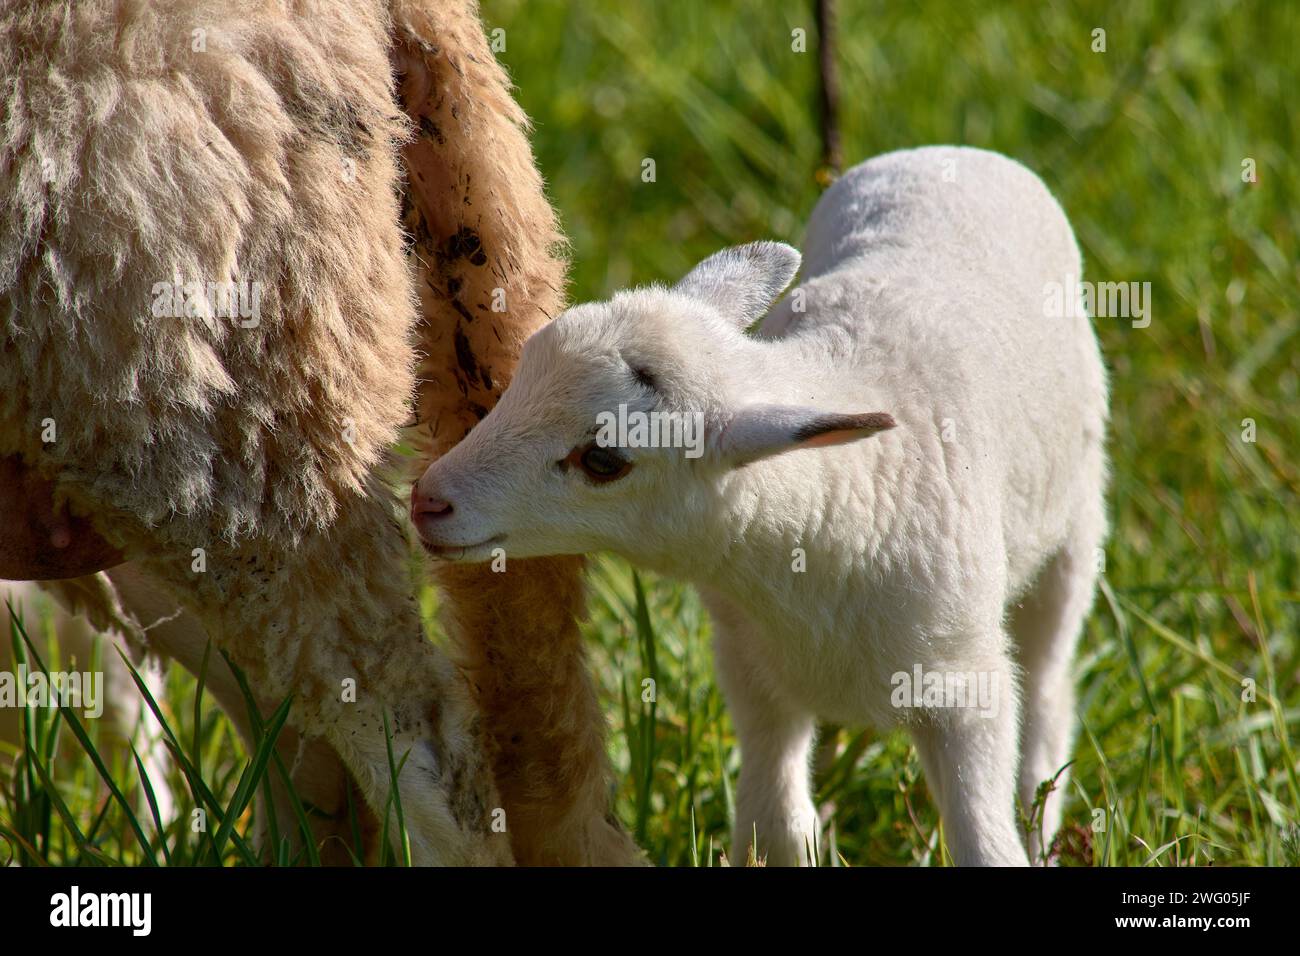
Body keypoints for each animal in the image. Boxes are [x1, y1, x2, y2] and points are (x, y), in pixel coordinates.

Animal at [408, 147, 1107, 868]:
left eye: (603, 461)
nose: (429, 499)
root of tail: (954, 154)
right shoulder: (751, 668)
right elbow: (775, 825)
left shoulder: (966, 686)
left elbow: (985, 839)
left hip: (1076, 526)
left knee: (1049, 683)